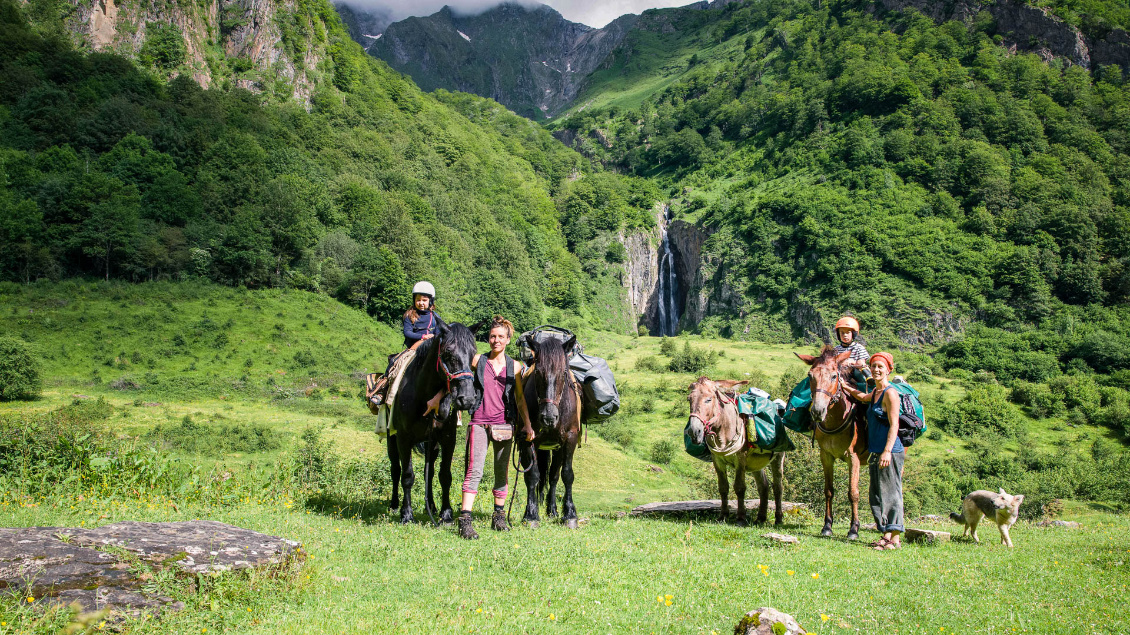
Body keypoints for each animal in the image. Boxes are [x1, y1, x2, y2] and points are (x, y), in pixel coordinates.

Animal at [388, 320, 476, 524]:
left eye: (473, 353)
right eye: (448, 353)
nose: (467, 399)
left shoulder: (448, 438)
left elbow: (445, 475)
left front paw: (446, 513)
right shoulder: (403, 439)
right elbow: (407, 475)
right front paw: (407, 513)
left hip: (432, 444)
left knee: (429, 472)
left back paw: (433, 507)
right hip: (391, 438)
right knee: (395, 468)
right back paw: (394, 505)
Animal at [517, 334, 583, 526]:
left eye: (563, 373)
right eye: (538, 372)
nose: (549, 417)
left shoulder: (569, 439)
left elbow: (567, 475)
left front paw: (570, 514)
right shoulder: (528, 439)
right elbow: (532, 475)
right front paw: (531, 515)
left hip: (558, 448)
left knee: (553, 477)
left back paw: (552, 510)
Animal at [678, 375, 786, 524]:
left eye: (708, 399)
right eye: (689, 399)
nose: (693, 432)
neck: (723, 431)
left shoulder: (740, 459)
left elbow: (740, 487)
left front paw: (740, 518)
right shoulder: (717, 460)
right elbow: (723, 487)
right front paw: (723, 515)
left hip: (778, 457)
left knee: (778, 487)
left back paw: (778, 518)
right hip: (756, 463)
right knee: (763, 486)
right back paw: (760, 518)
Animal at [800, 343, 867, 535]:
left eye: (834, 376)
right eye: (810, 376)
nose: (817, 411)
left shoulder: (854, 458)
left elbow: (853, 493)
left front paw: (854, 528)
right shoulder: (826, 456)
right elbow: (828, 490)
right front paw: (827, 525)